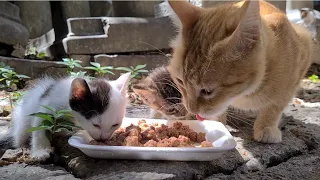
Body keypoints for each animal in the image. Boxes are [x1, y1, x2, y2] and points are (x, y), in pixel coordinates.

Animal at [168, 0, 312, 143]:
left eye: (208, 91)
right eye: (180, 81)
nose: (191, 109)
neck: (243, 94)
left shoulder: (299, 66)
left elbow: (276, 105)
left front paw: (266, 126)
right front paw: (217, 123)